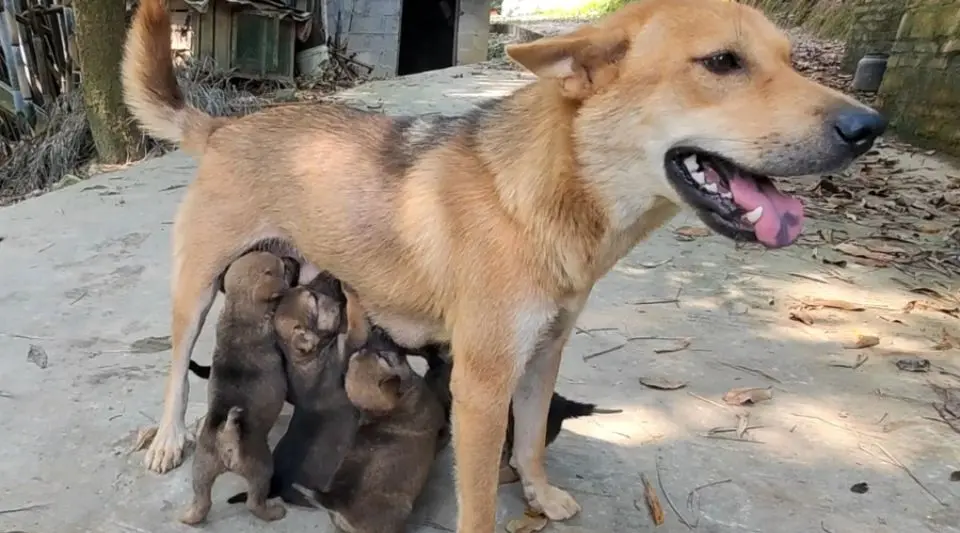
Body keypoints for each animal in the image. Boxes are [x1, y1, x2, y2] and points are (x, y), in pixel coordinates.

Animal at [177, 250, 288, 524]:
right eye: (278, 268)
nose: (285, 257)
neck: (239, 308)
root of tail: (226, 437)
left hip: (202, 467)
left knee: (202, 500)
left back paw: (188, 517)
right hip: (261, 467)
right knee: (254, 502)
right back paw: (274, 512)